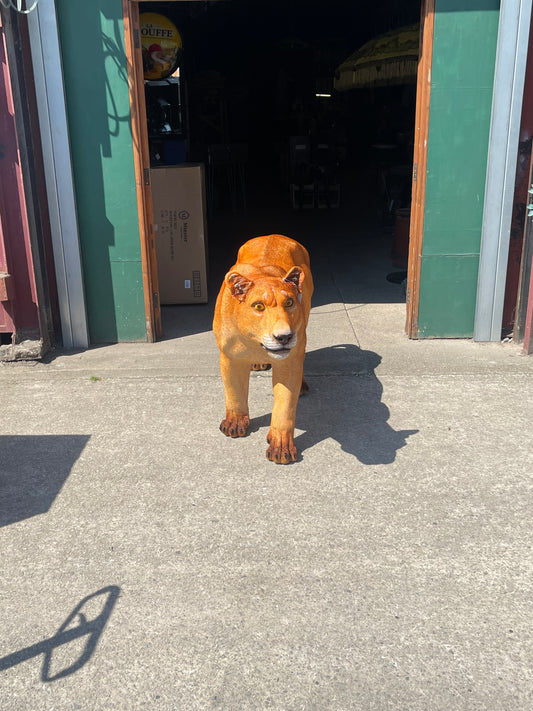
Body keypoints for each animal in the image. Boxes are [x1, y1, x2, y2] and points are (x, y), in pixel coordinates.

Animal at [213, 234, 313, 463]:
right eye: (258, 306)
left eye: (290, 302)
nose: (284, 337)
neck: (253, 340)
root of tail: (273, 235)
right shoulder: (229, 357)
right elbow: (234, 392)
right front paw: (235, 423)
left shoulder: (289, 362)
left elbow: (284, 407)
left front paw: (281, 447)